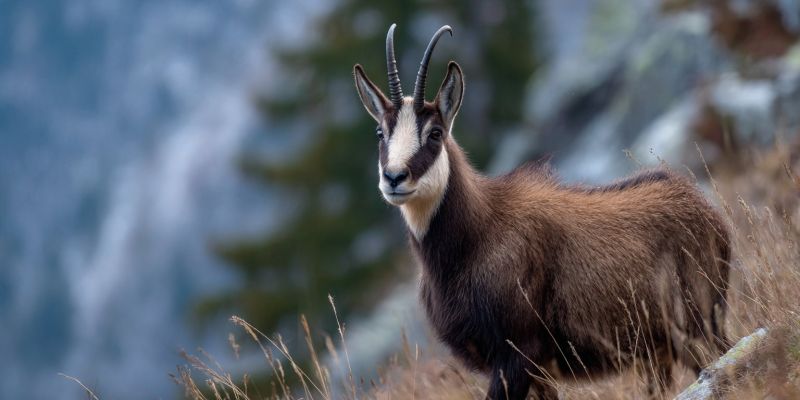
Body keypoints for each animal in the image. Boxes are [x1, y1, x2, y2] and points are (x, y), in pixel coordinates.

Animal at [353, 24, 730, 400]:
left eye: (434, 132)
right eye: (380, 131)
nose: (394, 178)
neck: (476, 236)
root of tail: (708, 213)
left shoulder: (519, 352)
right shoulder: (532, 371)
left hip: (696, 327)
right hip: (659, 350)